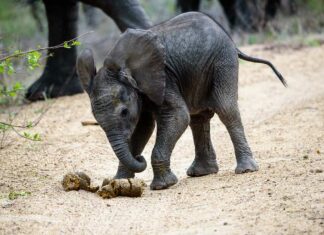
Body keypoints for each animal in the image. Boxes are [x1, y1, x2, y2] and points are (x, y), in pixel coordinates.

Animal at [76, 11, 286, 190]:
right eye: (96, 119)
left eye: (124, 112)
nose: (140, 158)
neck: (123, 68)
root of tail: (229, 38)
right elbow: (143, 128)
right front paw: (119, 182)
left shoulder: (165, 78)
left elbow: (177, 117)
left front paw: (163, 186)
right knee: (198, 118)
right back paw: (202, 173)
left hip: (223, 61)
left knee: (226, 109)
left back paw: (246, 170)